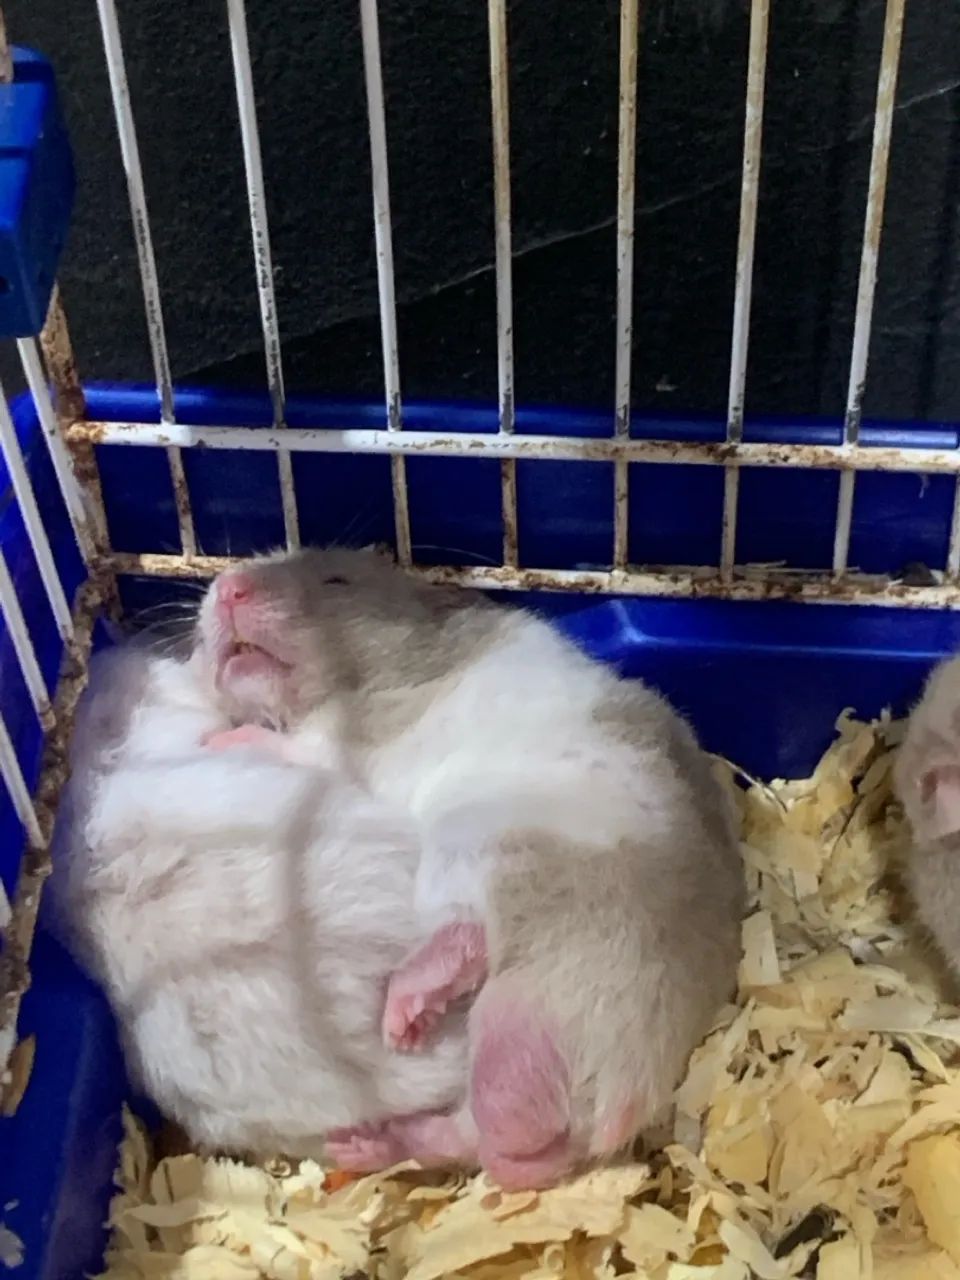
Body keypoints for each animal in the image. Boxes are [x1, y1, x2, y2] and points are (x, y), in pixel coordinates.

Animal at [191, 547, 745, 1187]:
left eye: (336, 579)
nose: (228, 586)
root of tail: (620, 1099)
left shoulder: (346, 743)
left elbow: (296, 748)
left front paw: (218, 741)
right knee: (474, 1133)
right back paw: (366, 1143)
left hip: (479, 857)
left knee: (470, 945)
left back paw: (403, 1018)